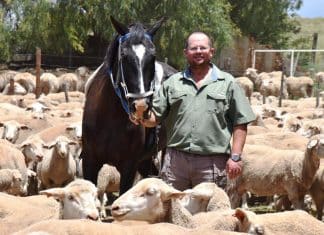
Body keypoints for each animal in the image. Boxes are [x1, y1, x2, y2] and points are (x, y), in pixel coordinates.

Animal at [81, 16, 170, 195]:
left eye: (153, 55)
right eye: (123, 55)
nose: (141, 106)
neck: (109, 118)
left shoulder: (129, 167)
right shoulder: (89, 162)